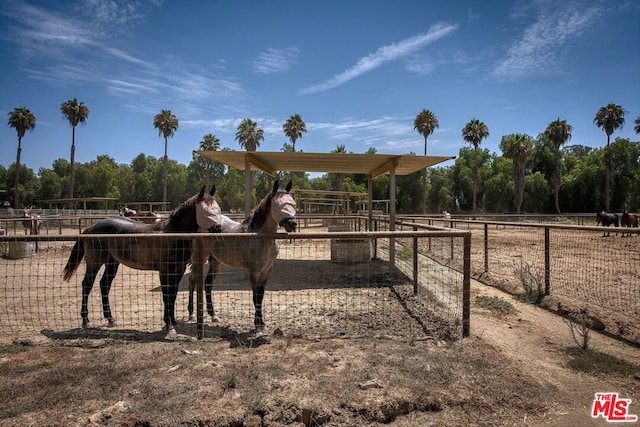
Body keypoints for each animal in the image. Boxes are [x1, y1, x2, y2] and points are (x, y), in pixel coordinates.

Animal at [63, 186, 222, 336]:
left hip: (112, 262)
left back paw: (110, 319)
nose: (218, 229)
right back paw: (85, 320)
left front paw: (173, 321)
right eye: (204, 210)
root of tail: (90, 228)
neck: (172, 233)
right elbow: (166, 296)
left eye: (218, 208)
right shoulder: (164, 271)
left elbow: (173, 294)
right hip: (94, 263)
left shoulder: (178, 270)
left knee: (104, 285)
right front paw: (169, 325)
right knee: (87, 285)